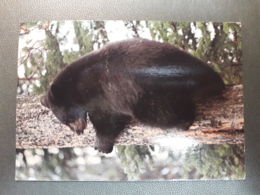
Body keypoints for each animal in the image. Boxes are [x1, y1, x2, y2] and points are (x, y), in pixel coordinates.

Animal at [41, 38, 225, 153]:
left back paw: (182, 121)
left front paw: (100, 145)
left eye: (67, 120)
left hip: (148, 94)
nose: (78, 132)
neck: (78, 84)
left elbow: (108, 121)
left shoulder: (103, 93)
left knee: (159, 114)